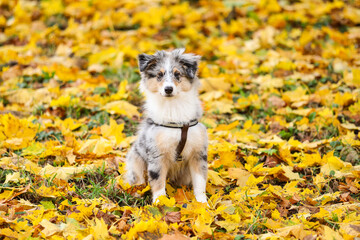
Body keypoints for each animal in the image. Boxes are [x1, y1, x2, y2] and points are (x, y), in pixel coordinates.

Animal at [124, 48, 207, 202]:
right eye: (159, 75)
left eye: (177, 74)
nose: (168, 89)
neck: (173, 109)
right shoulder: (157, 154)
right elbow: (158, 181)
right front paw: (160, 202)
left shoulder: (198, 153)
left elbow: (200, 182)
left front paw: (203, 204)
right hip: (135, 160)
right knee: (138, 180)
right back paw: (136, 192)